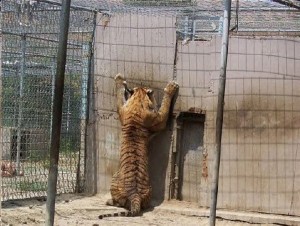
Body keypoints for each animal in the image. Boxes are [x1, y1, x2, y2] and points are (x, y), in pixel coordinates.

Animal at [98, 74, 178, 219]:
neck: (137, 102)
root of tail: (134, 194)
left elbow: (119, 96)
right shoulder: (158, 119)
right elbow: (164, 106)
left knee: (121, 204)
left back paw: (108, 201)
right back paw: (109, 201)